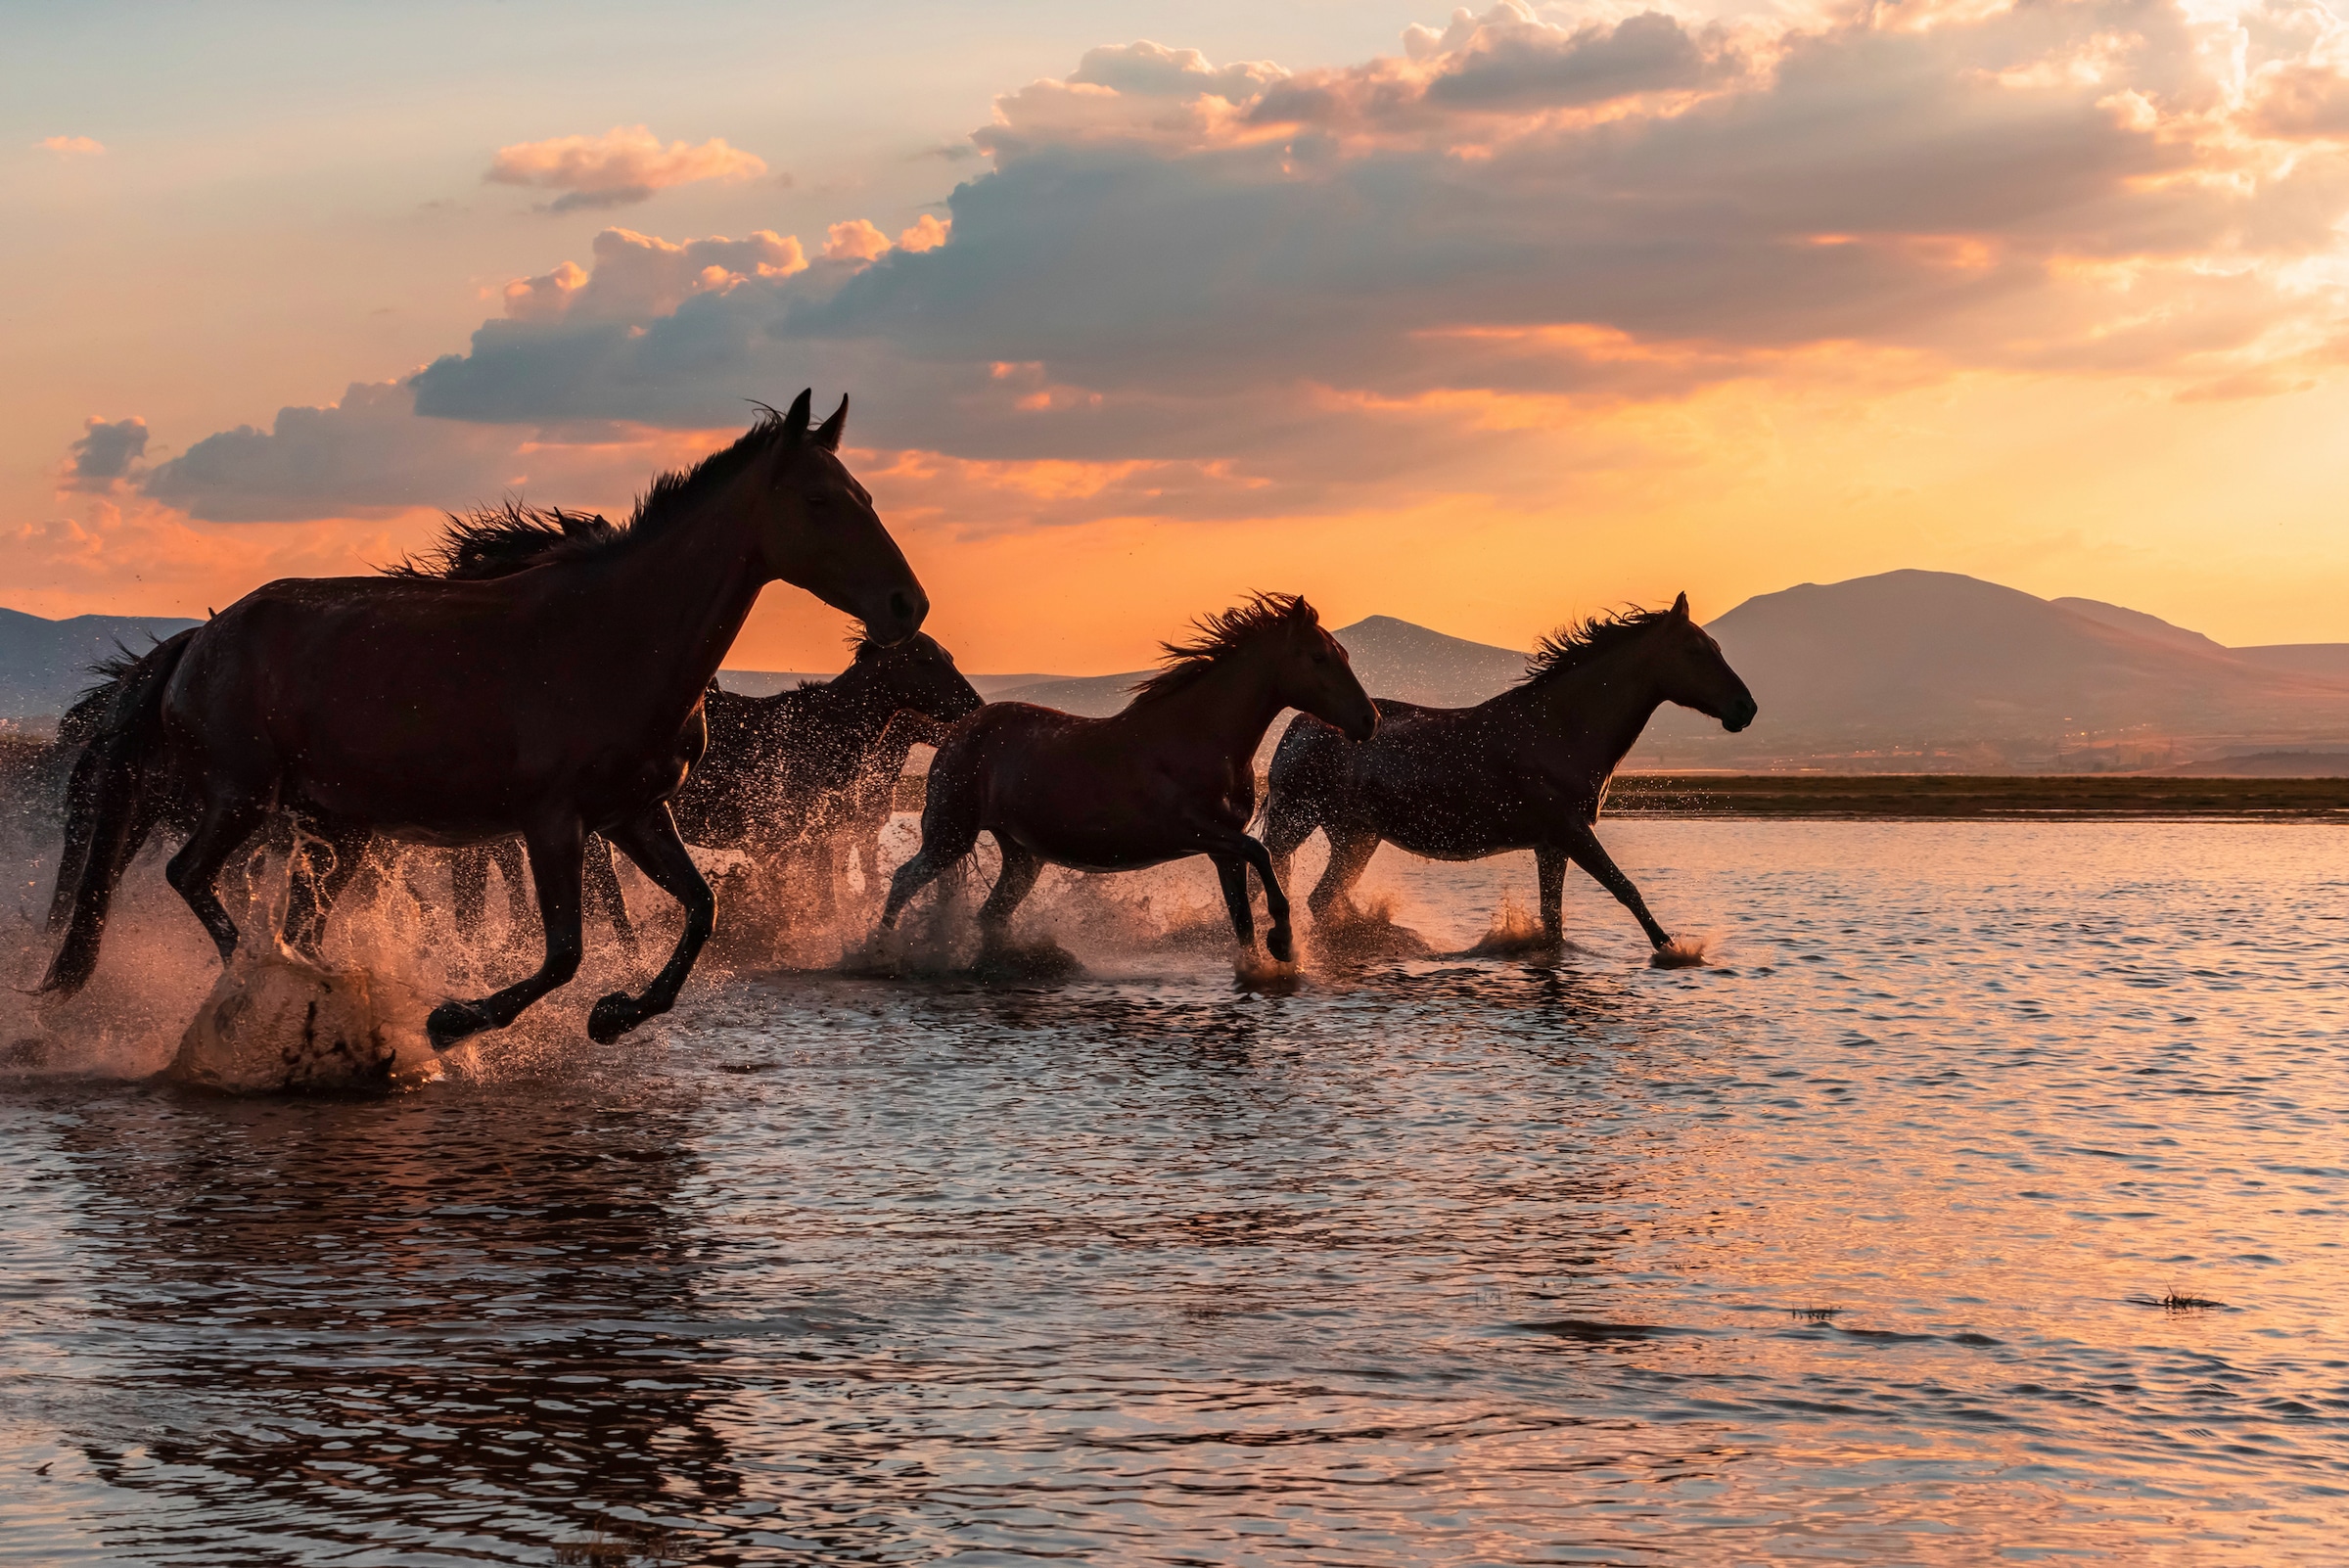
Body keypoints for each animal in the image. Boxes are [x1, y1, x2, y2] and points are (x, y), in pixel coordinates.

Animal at [45, 390, 925, 1051]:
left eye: (868, 497)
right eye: (820, 500)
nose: (905, 604)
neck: (615, 635)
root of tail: (198, 640)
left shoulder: (636, 813)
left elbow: (701, 909)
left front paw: (616, 1015)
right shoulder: (552, 821)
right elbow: (565, 953)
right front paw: (455, 1019)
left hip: (334, 828)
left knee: (295, 916)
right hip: (242, 797)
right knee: (189, 876)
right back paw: (277, 986)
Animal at [878, 596, 1371, 967]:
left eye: (1345, 654)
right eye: (1319, 657)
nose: (1371, 720)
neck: (1200, 737)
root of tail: (957, 731)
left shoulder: (1222, 849)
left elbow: (1242, 920)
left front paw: (1262, 962)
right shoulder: (1195, 832)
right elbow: (1262, 854)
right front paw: (1284, 942)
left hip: (1021, 855)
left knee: (989, 915)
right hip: (950, 834)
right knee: (903, 881)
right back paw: (878, 954)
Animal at [1259, 591, 1757, 947]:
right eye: (1695, 650)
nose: (1746, 708)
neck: (1561, 729)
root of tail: (1299, 726)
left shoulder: (1552, 845)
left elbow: (1554, 922)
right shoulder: (1570, 831)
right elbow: (1626, 889)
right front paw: (1674, 950)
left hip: (1355, 836)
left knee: (1321, 899)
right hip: (1297, 821)